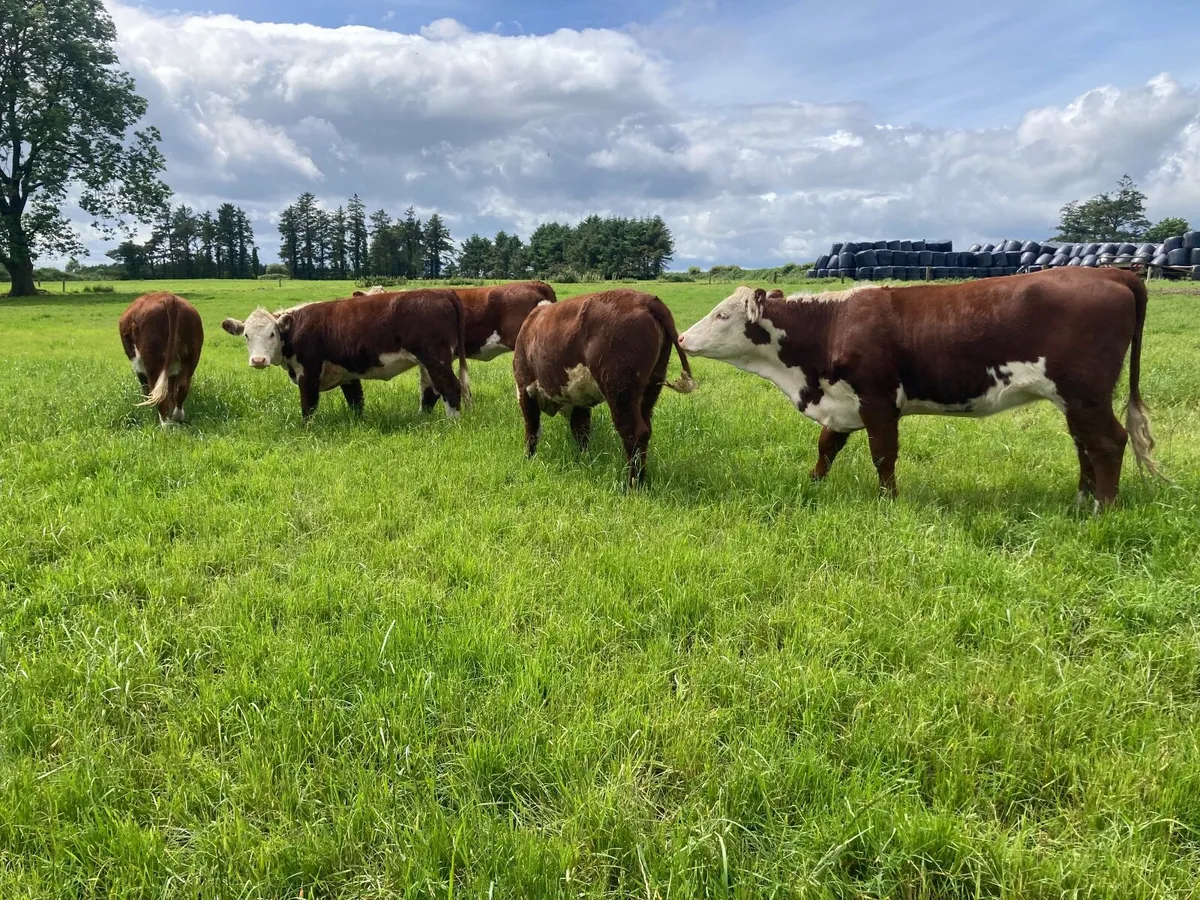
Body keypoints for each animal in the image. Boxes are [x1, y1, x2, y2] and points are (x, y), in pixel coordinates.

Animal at [118, 292, 204, 427]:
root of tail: (169, 298)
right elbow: (171, 389)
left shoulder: (139, 366)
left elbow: (146, 387)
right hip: (191, 356)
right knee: (182, 386)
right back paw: (177, 416)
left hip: (153, 359)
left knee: (157, 390)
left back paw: (165, 424)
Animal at [221, 289, 470, 421]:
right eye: (246, 335)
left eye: (272, 334)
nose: (258, 360)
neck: (296, 327)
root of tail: (440, 292)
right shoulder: (348, 375)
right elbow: (355, 402)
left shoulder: (309, 372)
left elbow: (308, 405)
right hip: (428, 363)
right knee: (431, 391)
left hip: (435, 359)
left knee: (450, 388)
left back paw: (452, 424)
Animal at [513, 289, 696, 487]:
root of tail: (647, 299)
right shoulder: (579, 398)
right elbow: (581, 431)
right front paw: (584, 461)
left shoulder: (525, 388)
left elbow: (532, 429)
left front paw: (528, 459)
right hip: (651, 385)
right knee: (646, 427)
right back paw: (641, 480)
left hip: (620, 390)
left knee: (634, 432)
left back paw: (632, 485)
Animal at [677, 268, 1160, 507]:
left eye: (722, 314)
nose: (681, 338)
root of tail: (1113, 272)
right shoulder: (842, 402)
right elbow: (826, 447)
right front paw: (811, 484)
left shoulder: (877, 399)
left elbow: (883, 454)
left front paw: (888, 502)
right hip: (1074, 399)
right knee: (1085, 443)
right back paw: (1082, 499)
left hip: (1084, 392)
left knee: (1108, 441)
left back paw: (1103, 508)